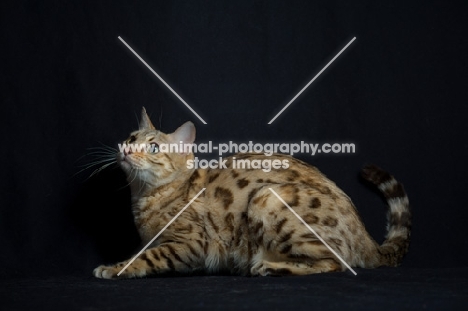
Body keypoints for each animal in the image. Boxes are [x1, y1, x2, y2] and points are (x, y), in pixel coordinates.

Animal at [93, 108, 412, 280]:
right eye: (131, 138)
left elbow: (147, 257)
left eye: (154, 147)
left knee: (337, 262)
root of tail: (366, 237)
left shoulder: (191, 244)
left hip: (266, 198)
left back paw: (268, 266)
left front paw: (114, 268)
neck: (144, 199)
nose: (126, 150)